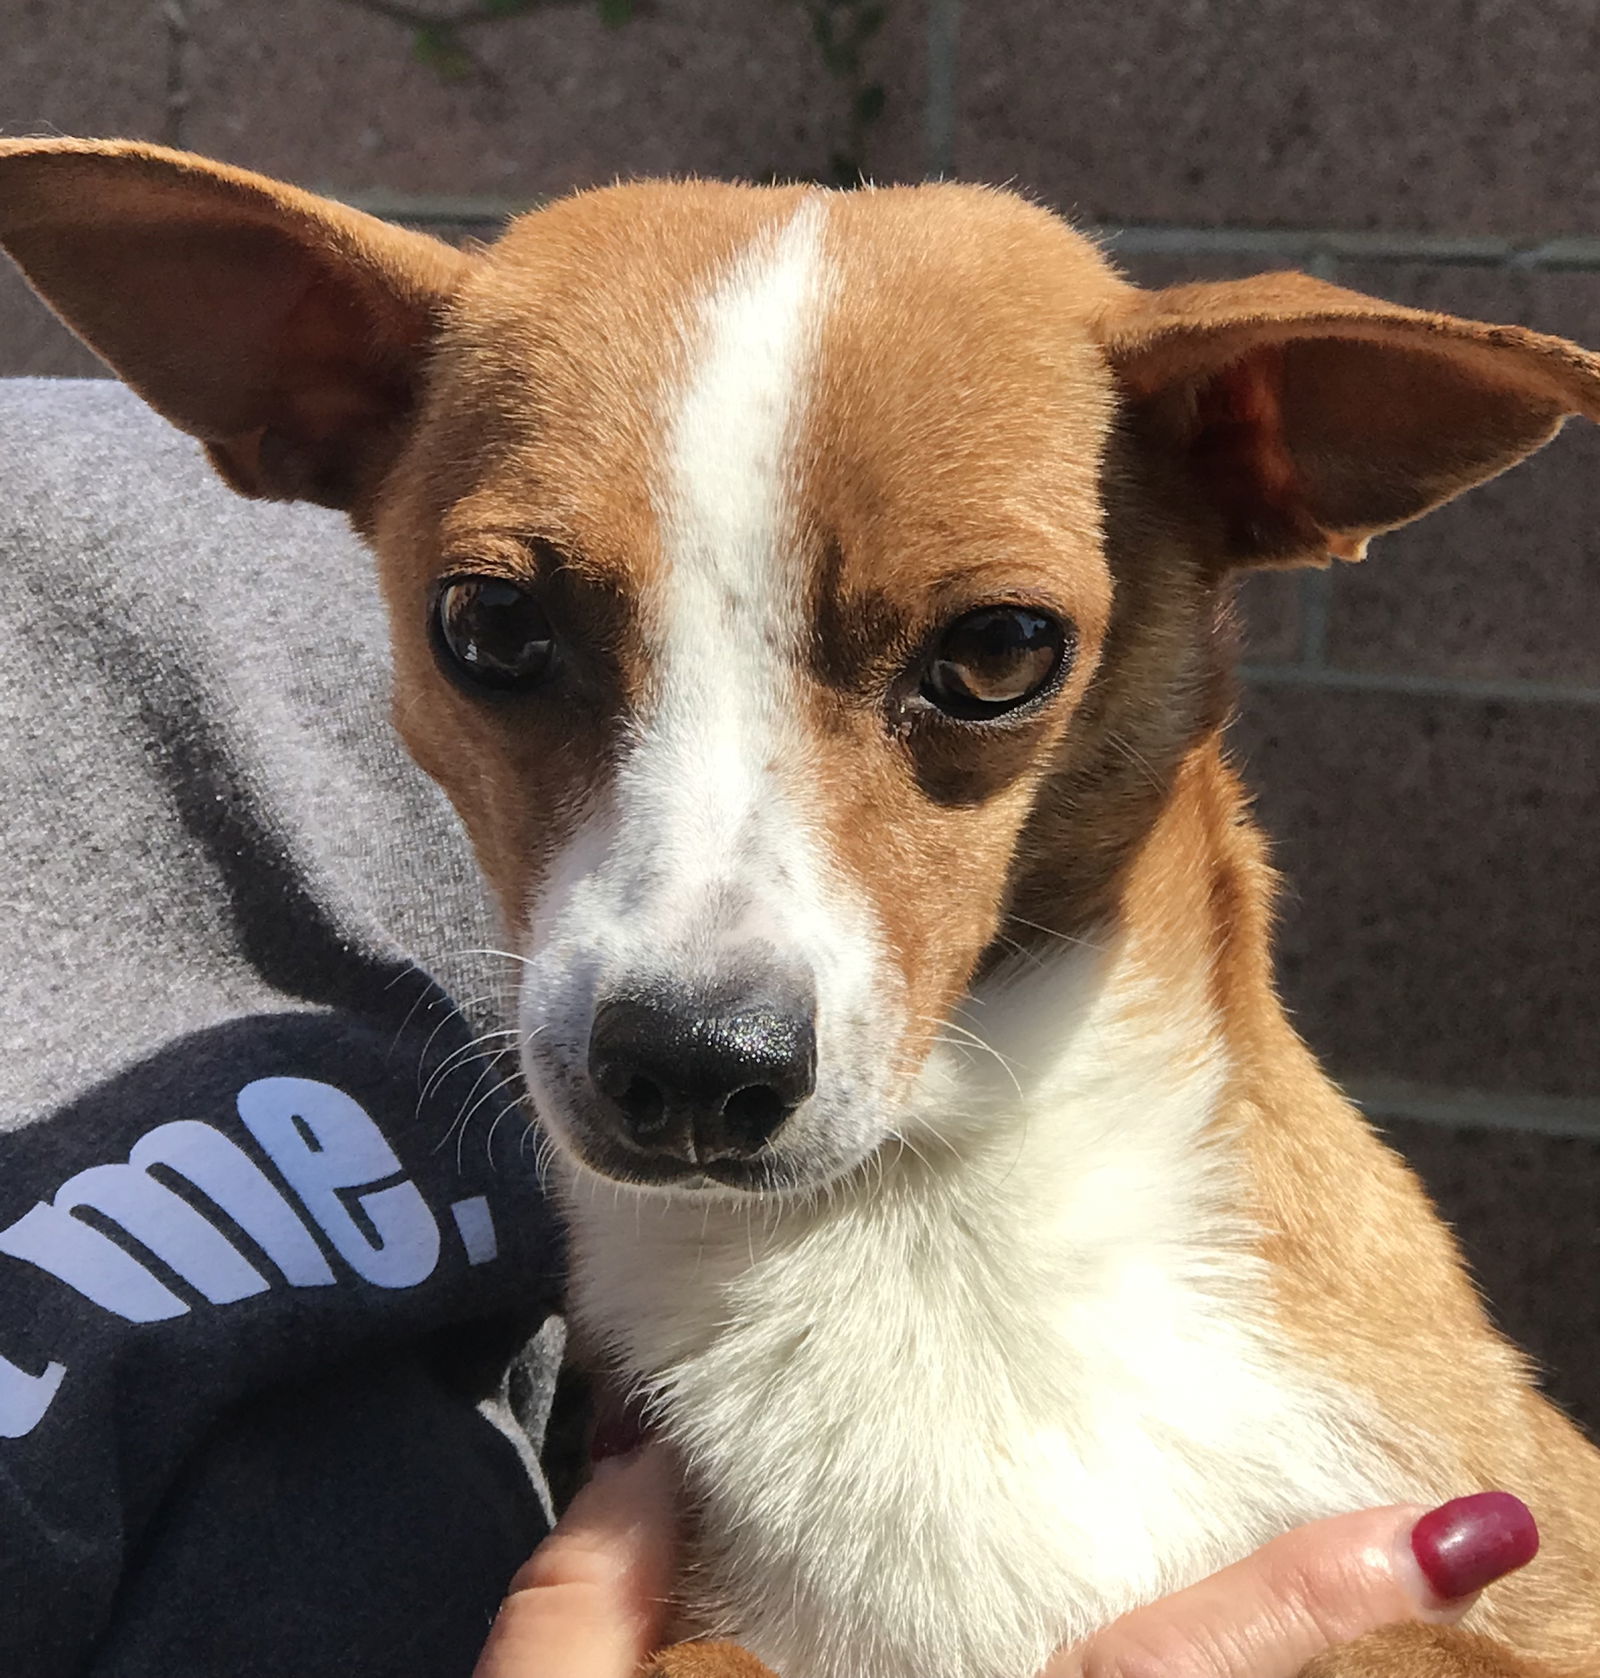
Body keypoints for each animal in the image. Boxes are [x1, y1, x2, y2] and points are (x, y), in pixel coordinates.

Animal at [3, 140, 1596, 1678]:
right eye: (490, 624)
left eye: (1001, 650)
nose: (693, 1067)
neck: (926, 1227)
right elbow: (714, 1660)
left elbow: (1406, 1638)